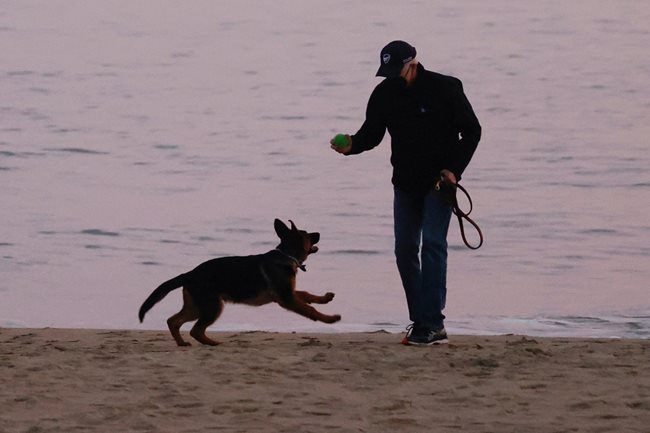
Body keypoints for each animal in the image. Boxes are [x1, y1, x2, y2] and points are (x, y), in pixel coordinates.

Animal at [137, 218, 340, 346]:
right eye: (307, 235)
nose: (319, 233)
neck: (286, 255)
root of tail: (190, 274)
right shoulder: (286, 298)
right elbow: (310, 310)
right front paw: (330, 319)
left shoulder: (287, 293)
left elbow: (306, 294)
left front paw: (325, 298)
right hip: (212, 306)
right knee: (195, 329)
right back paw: (213, 343)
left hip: (196, 306)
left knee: (174, 321)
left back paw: (182, 343)